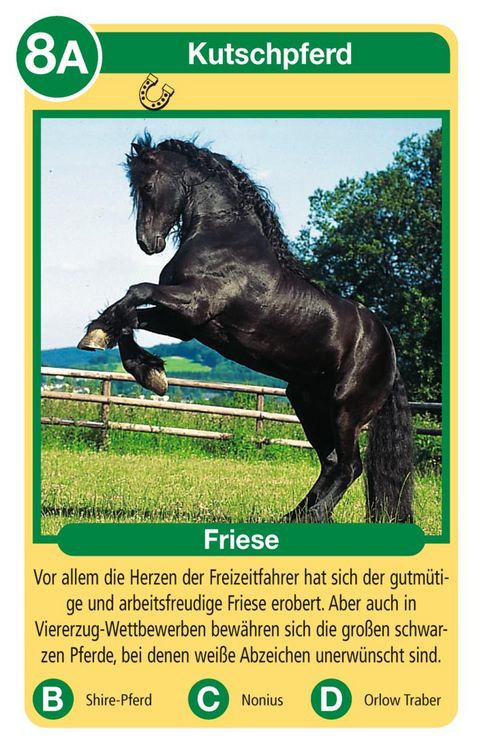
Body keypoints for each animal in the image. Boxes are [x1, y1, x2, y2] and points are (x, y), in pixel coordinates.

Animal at [78, 134, 414, 523]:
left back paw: (313, 515)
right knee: (330, 463)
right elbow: (131, 318)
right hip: (307, 402)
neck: (221, 235)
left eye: (146, 187)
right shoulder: (187, 324)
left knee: (349, 467)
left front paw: (103, 339)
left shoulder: (194, 306)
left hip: (346, 409)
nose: (149, 243)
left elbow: (137, 291)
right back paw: (296, 516)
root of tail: (390, 353)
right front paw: (142, 366)